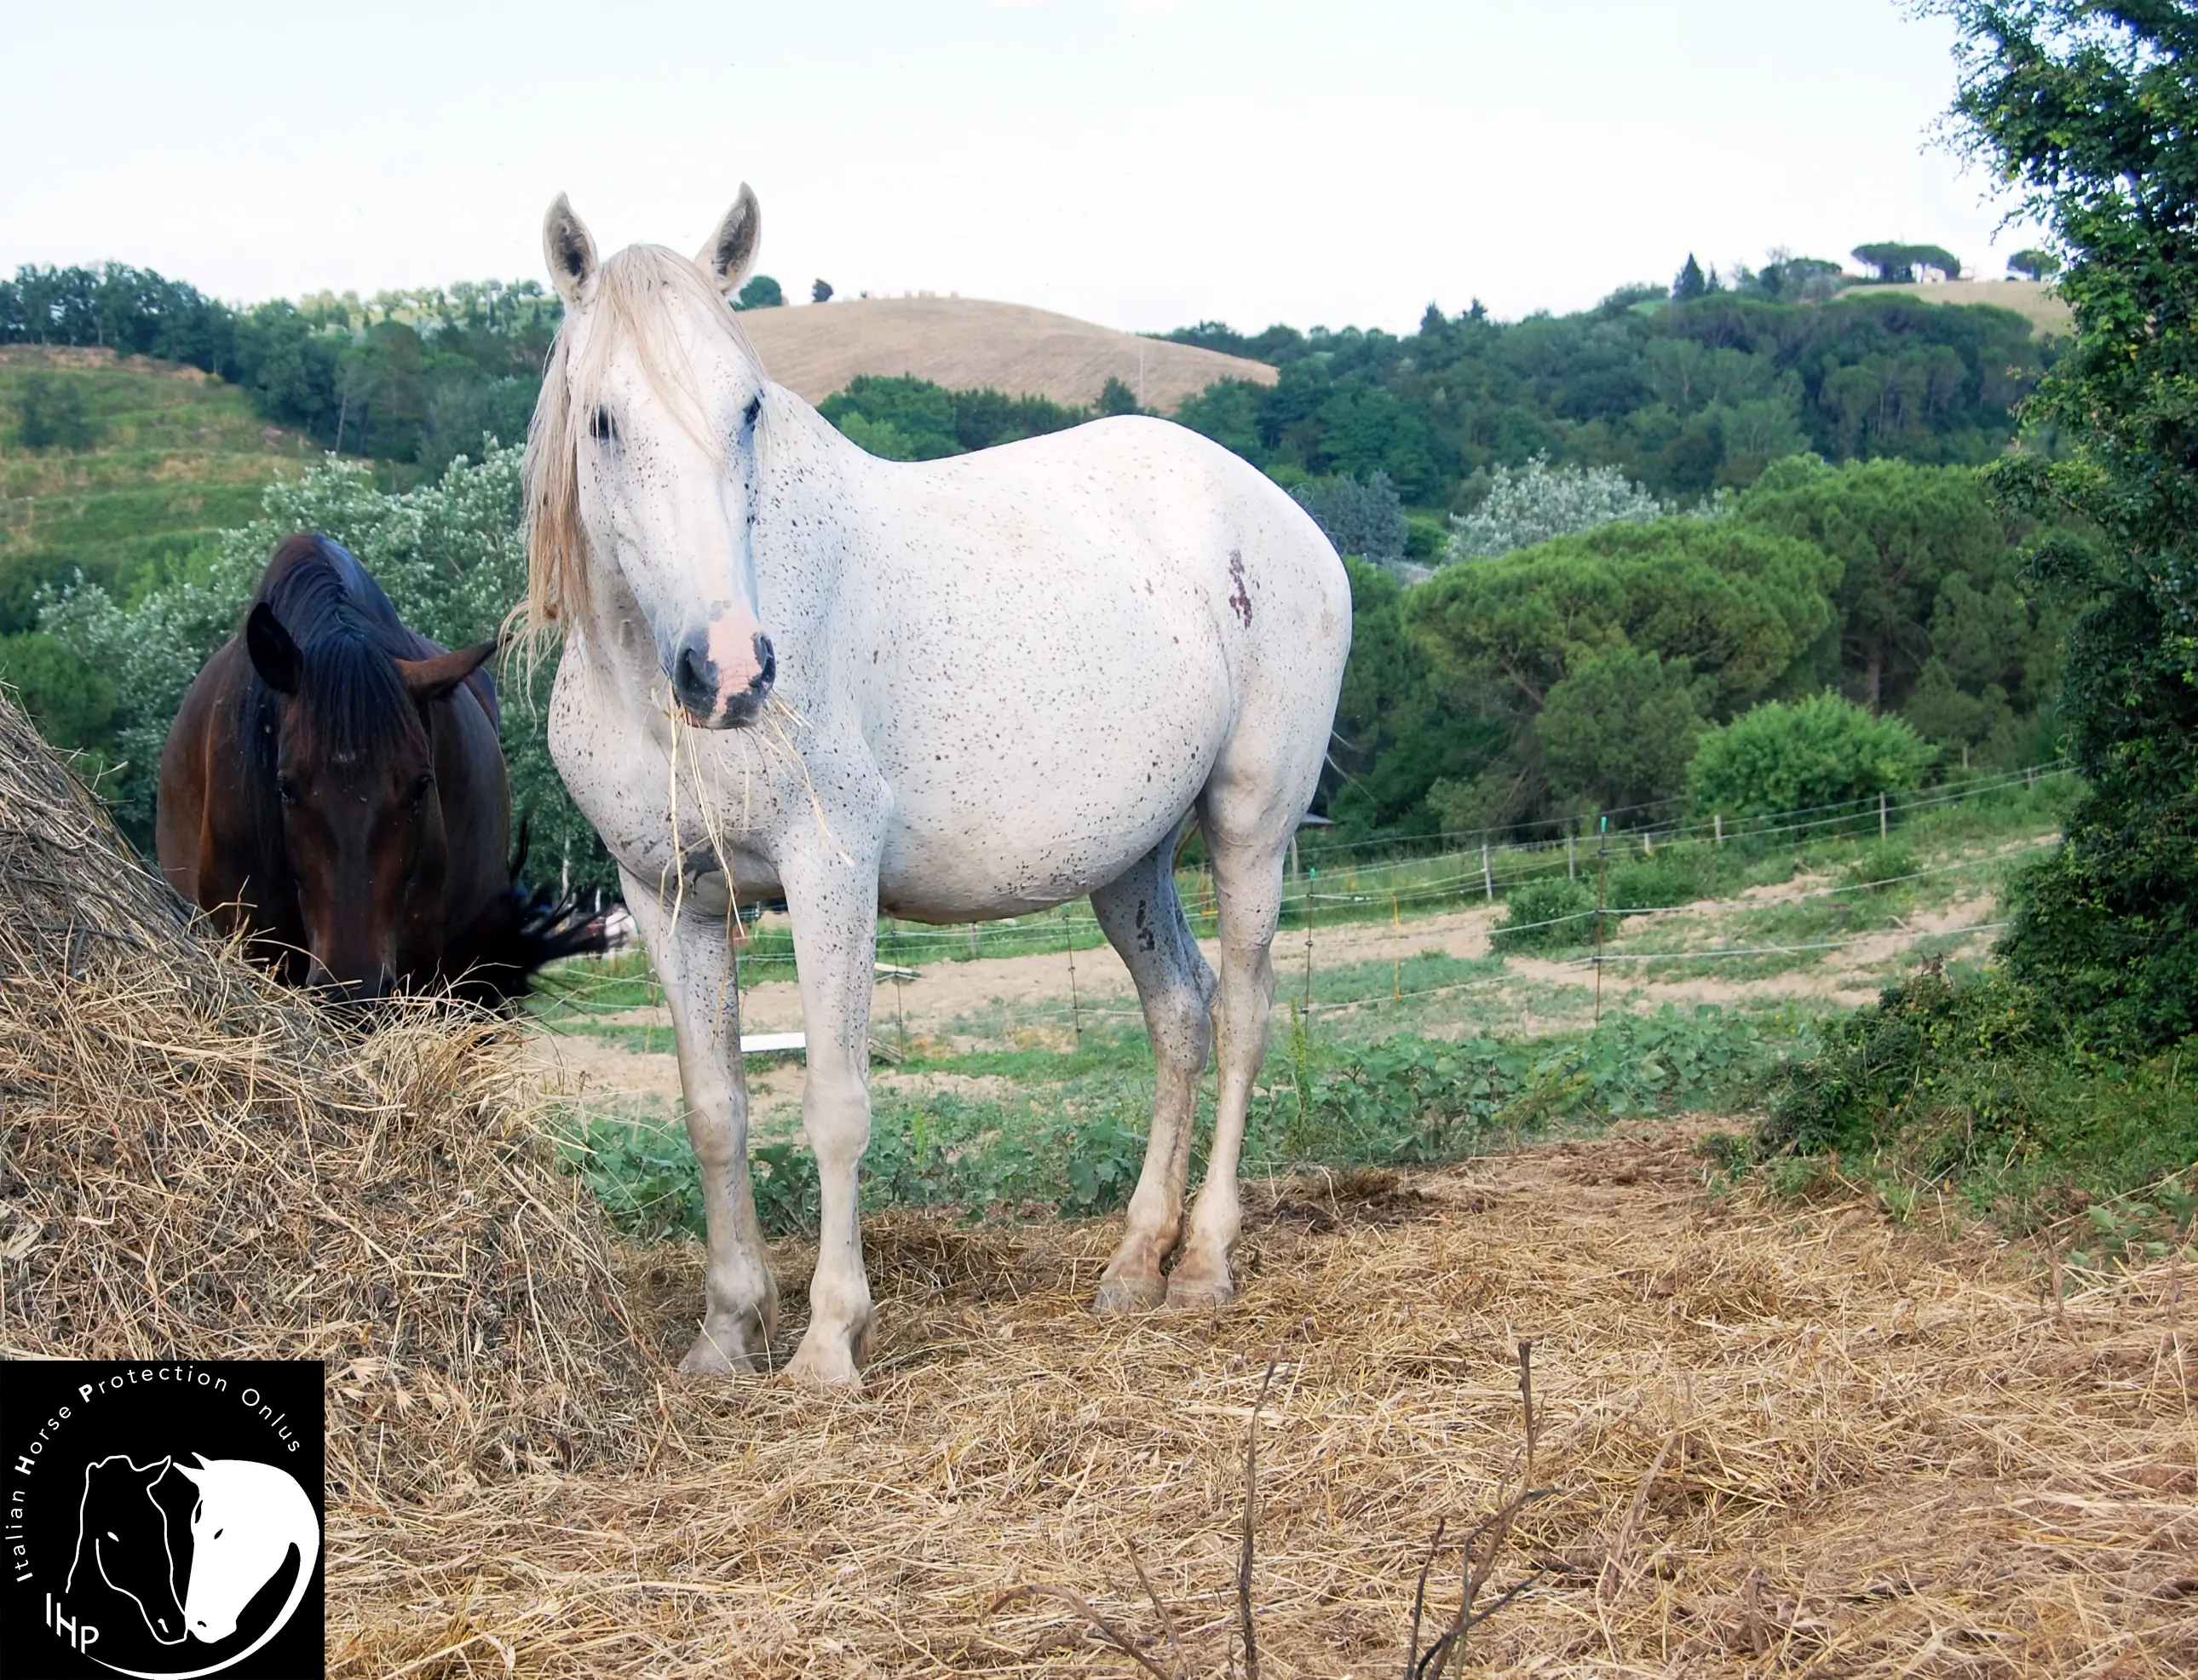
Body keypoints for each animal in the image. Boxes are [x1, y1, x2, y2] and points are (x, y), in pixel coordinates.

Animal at [536, 190, 1354, 1380]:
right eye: (601, 421)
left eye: (747, 411)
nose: (731, 671)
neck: (647, 687)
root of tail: (1286, 520)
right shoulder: (668, 900)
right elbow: (714, 1109)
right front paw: (727, 1331)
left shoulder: (829, 873)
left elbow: (835, 1102)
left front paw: (830, 1339)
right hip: (1129, 865)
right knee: (1180, 1016)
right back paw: (1134, 1263)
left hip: (1249, 829)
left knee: (1243, 1015)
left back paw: (1203, 1261)